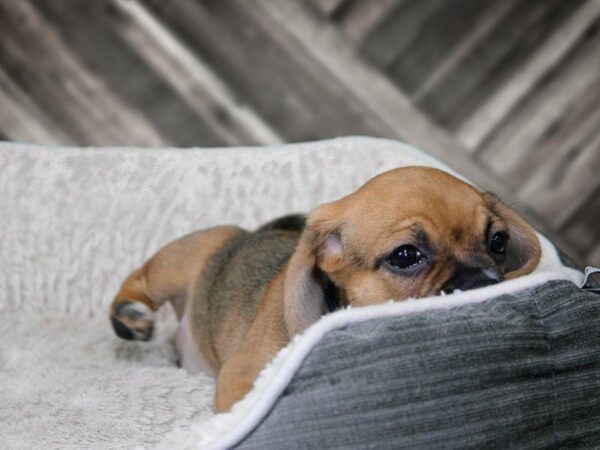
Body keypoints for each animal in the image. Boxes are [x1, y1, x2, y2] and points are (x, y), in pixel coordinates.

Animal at [110, 166, 540, 412]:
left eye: (498, 241)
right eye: (405, 256)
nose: (485, 283)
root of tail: (244, 234)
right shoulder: (242, 377)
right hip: (182, 258)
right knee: (139, 280)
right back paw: (131, 315)